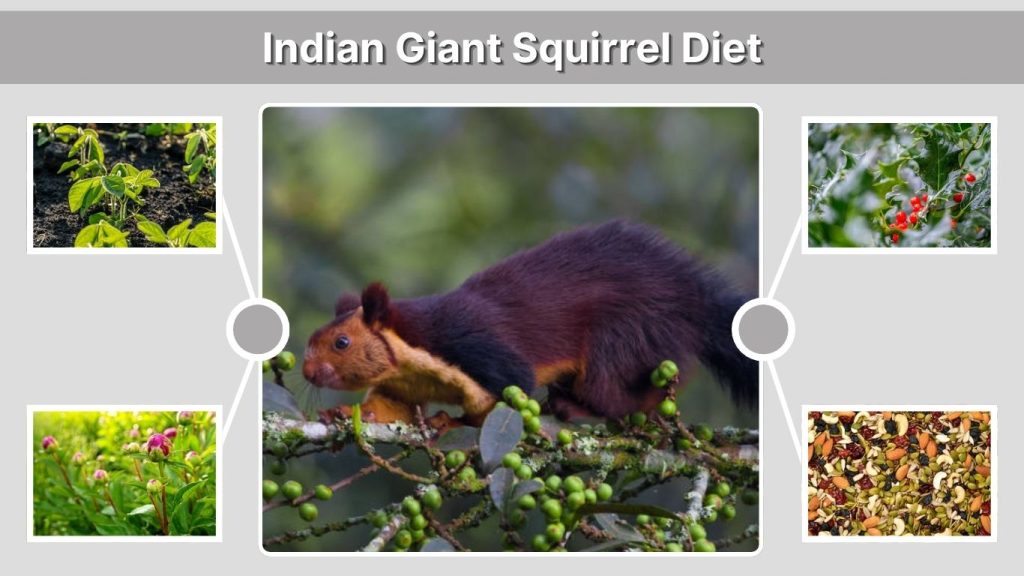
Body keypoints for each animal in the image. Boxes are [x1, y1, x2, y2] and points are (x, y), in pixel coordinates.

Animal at [303, 220, 757, 427]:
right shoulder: (402, 386)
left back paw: (579, 405)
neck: (416, 349)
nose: (307, 372)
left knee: (620, 391)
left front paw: (451, 421)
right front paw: (341, 412)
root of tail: (693, 300)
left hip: (628, 335)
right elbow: (386, 409)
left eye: (341, 343)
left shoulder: (475, 347)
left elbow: (507, 390)